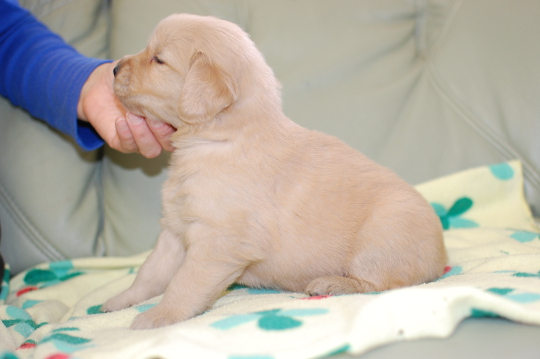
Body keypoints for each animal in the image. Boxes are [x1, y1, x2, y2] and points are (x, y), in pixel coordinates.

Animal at [101, 13, 448, 330]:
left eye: (158, 59)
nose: (114, 68)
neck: (219, 138)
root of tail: (442, 258)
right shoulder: (175, 228)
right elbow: (150, 271)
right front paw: (121, 300)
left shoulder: (219, 241)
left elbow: (184, 282)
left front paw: (158, 316)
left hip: (382, 234)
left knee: (382, 283)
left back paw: (331, 283)